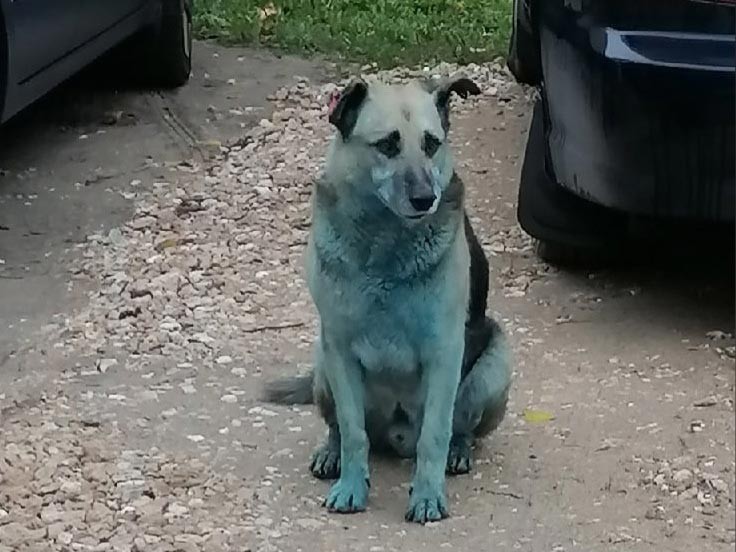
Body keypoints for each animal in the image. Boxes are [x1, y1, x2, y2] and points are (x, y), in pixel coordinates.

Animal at [264, 75, 512, 524]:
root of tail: (397, 437)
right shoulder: (339, 350)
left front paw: (428, 495)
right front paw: (351, 485)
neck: (385, 243)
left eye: (432, 143)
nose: (425, 198)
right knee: (340, 428)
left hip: (495, 366)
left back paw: (459, 450)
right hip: (322, 366)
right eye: (387, 145)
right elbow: (352, 432)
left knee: (459, 427)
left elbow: (435, 434)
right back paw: (331, 454)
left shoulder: (444, 351)